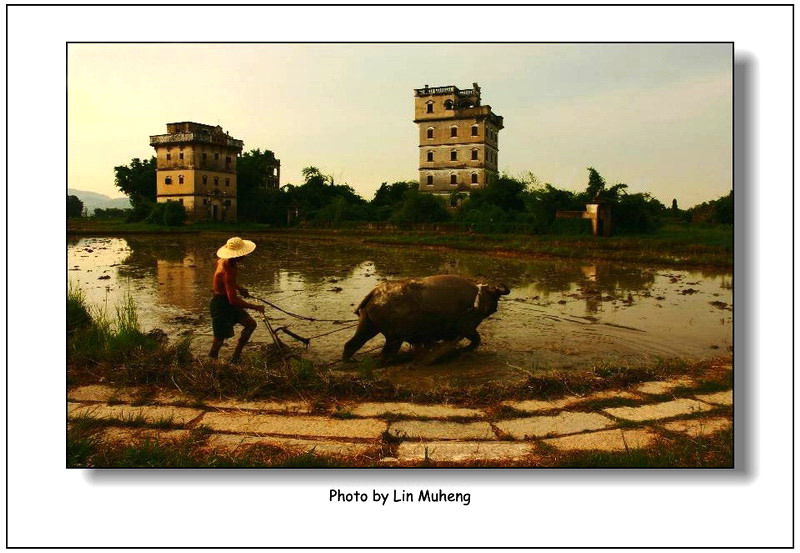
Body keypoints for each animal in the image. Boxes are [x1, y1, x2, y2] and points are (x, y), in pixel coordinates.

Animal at [340, 272, 510, 362]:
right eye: (495, 296)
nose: (495, 307)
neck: (476, 299)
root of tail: (375, 293)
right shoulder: (467, 328)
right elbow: (476, 341)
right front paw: (462, 351)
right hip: (394, 338)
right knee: (386, 354)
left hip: (367, 326)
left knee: (352, 344)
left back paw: (349, 361)